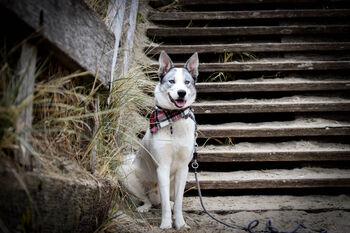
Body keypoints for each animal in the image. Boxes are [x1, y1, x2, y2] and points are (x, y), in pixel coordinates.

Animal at [119, 51, 198, 229]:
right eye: (171, 81)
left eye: (187, 82)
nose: (181, 92)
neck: (173, 119)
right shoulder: (162, 166)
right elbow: (165, 207)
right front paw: (166, 224)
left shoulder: (183, 169)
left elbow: (179, 202)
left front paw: (180, 223)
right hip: (124, 172)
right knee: (148, 199)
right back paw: (145, 207)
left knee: (167, 200)